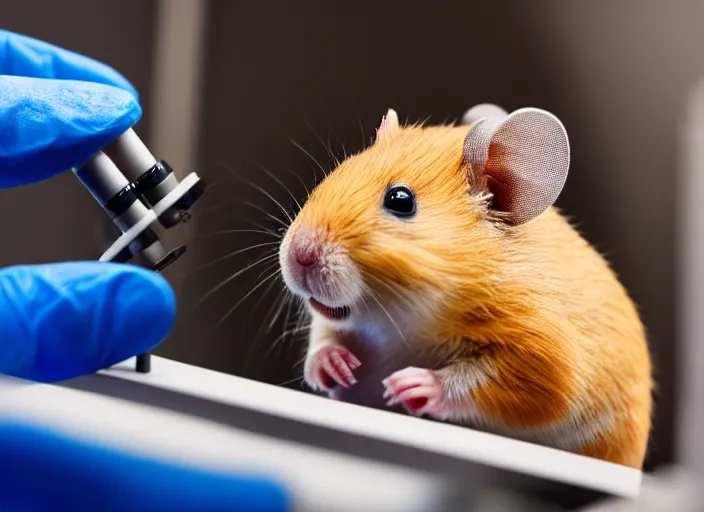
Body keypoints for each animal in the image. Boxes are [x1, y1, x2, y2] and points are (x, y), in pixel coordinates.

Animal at [276, 104, 656, 468]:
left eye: (401, 200)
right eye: (340, 170)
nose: (299, 255)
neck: (406, 319)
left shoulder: (544, 361)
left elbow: (483, 382)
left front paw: (411, 386)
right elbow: (325, 335)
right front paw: (334, 366)